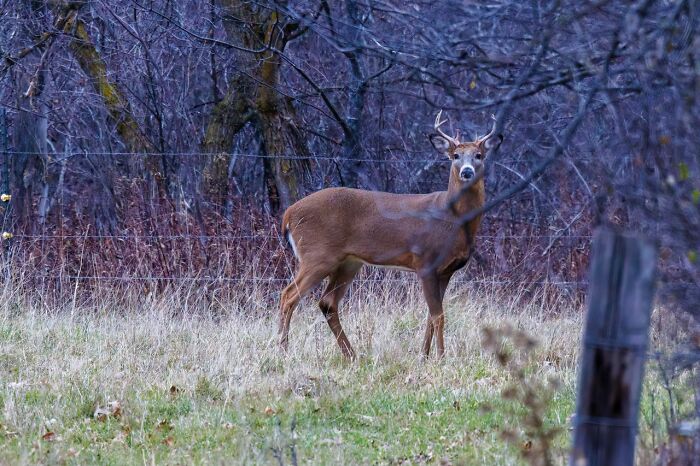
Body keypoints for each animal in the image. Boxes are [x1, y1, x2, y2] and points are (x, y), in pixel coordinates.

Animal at [278, 111, 502, 359]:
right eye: (455, 155)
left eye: (479, 155)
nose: (467, 172)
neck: (453, 218)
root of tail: (288, 214)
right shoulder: (425, 262)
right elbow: (438, 316)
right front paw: (441, 357)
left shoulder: (446, 271)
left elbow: (430, 316)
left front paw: (424, 356)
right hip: (317, 255)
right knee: (288, 295)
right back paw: (282, 350)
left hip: (348, 263)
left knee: (327, 302)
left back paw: (351, 354)